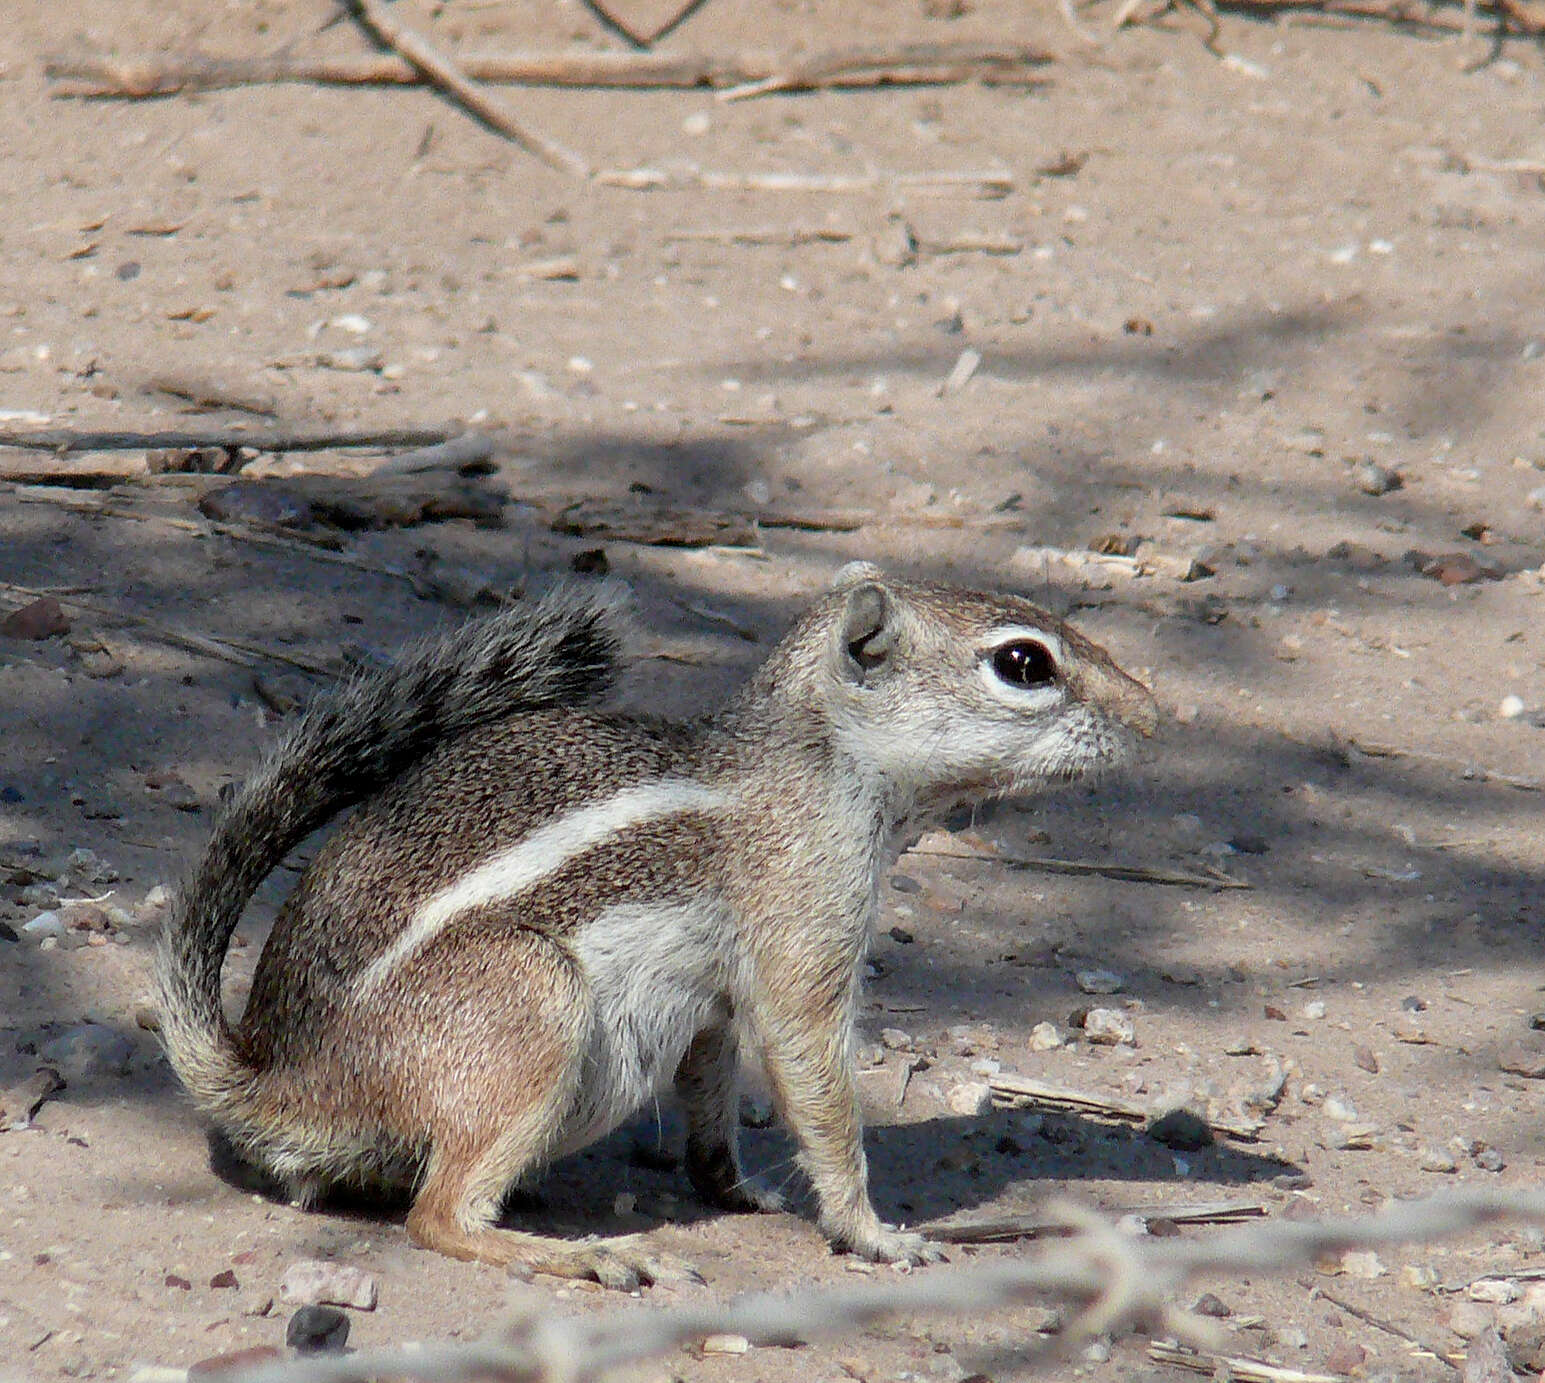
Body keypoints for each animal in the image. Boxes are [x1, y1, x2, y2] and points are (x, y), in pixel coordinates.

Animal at [156, 559, 1161, 1285]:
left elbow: (712, 1092)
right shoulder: (805, 925)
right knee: (436, 1216)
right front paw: (873, 1232)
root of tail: (280, 1081)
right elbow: (816, 1082)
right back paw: (576, 1254)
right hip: (532, 1000)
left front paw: (737, 1187)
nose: (1153, 714)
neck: (814, 760)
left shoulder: (712, 1003)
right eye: (1023, 663)